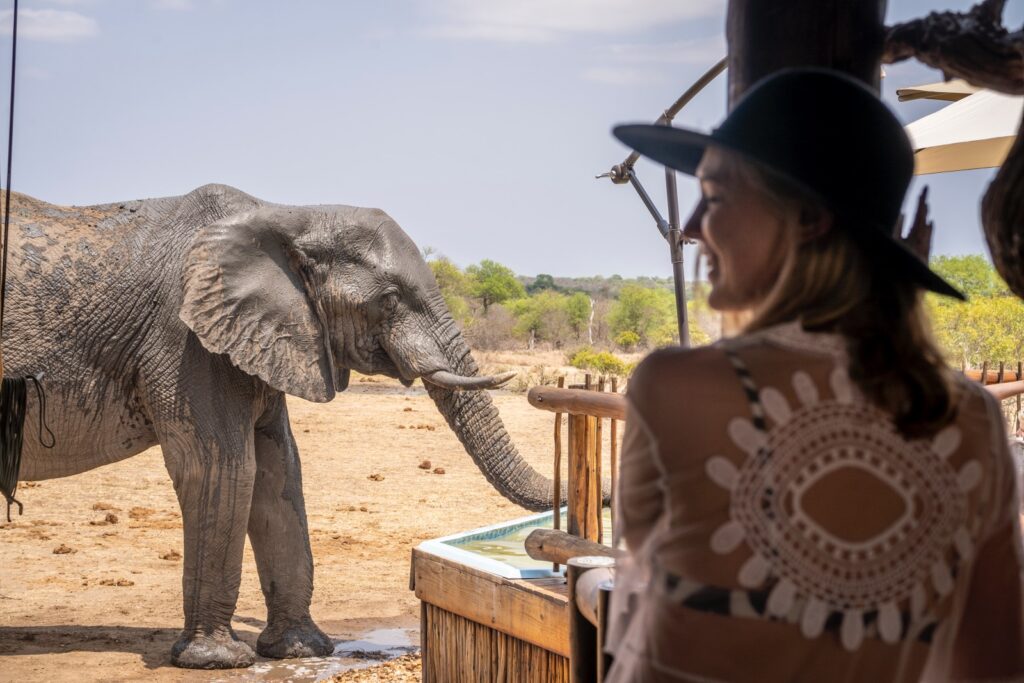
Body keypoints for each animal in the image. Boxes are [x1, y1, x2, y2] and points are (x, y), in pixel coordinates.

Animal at [2, 183, 561, 669]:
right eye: (389, 300)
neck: (287, 215)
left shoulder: (265, 335)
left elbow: (279, 473)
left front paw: (299, 651)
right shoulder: (185, 340)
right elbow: (222, 469)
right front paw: (217, 661)